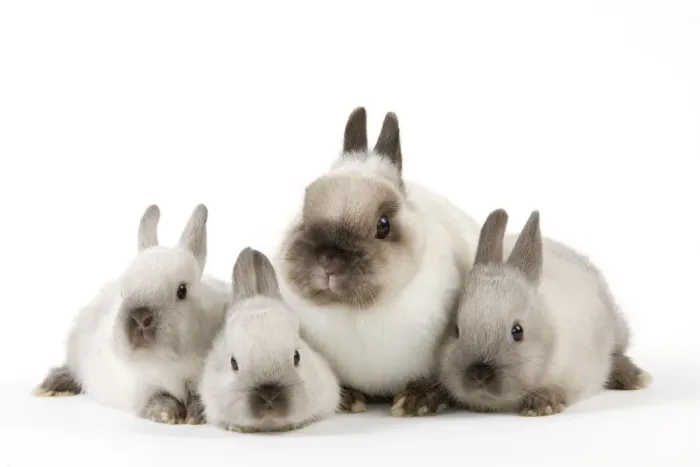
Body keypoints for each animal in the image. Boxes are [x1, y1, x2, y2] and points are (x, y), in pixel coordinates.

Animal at [34, 204, 231, 425]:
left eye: (182, 290)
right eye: (123, 291)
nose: (140, 318)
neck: (167, 362)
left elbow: (199, 397)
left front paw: (194, 416)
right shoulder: (138, 389)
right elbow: (156, 399)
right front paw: (167, 414)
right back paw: (51, 386)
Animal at [275, 107, 482, 417]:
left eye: (383, 225)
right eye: (303, 213)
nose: (328, 261)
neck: (357, 313)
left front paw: (417, 401)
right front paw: (349, 398)